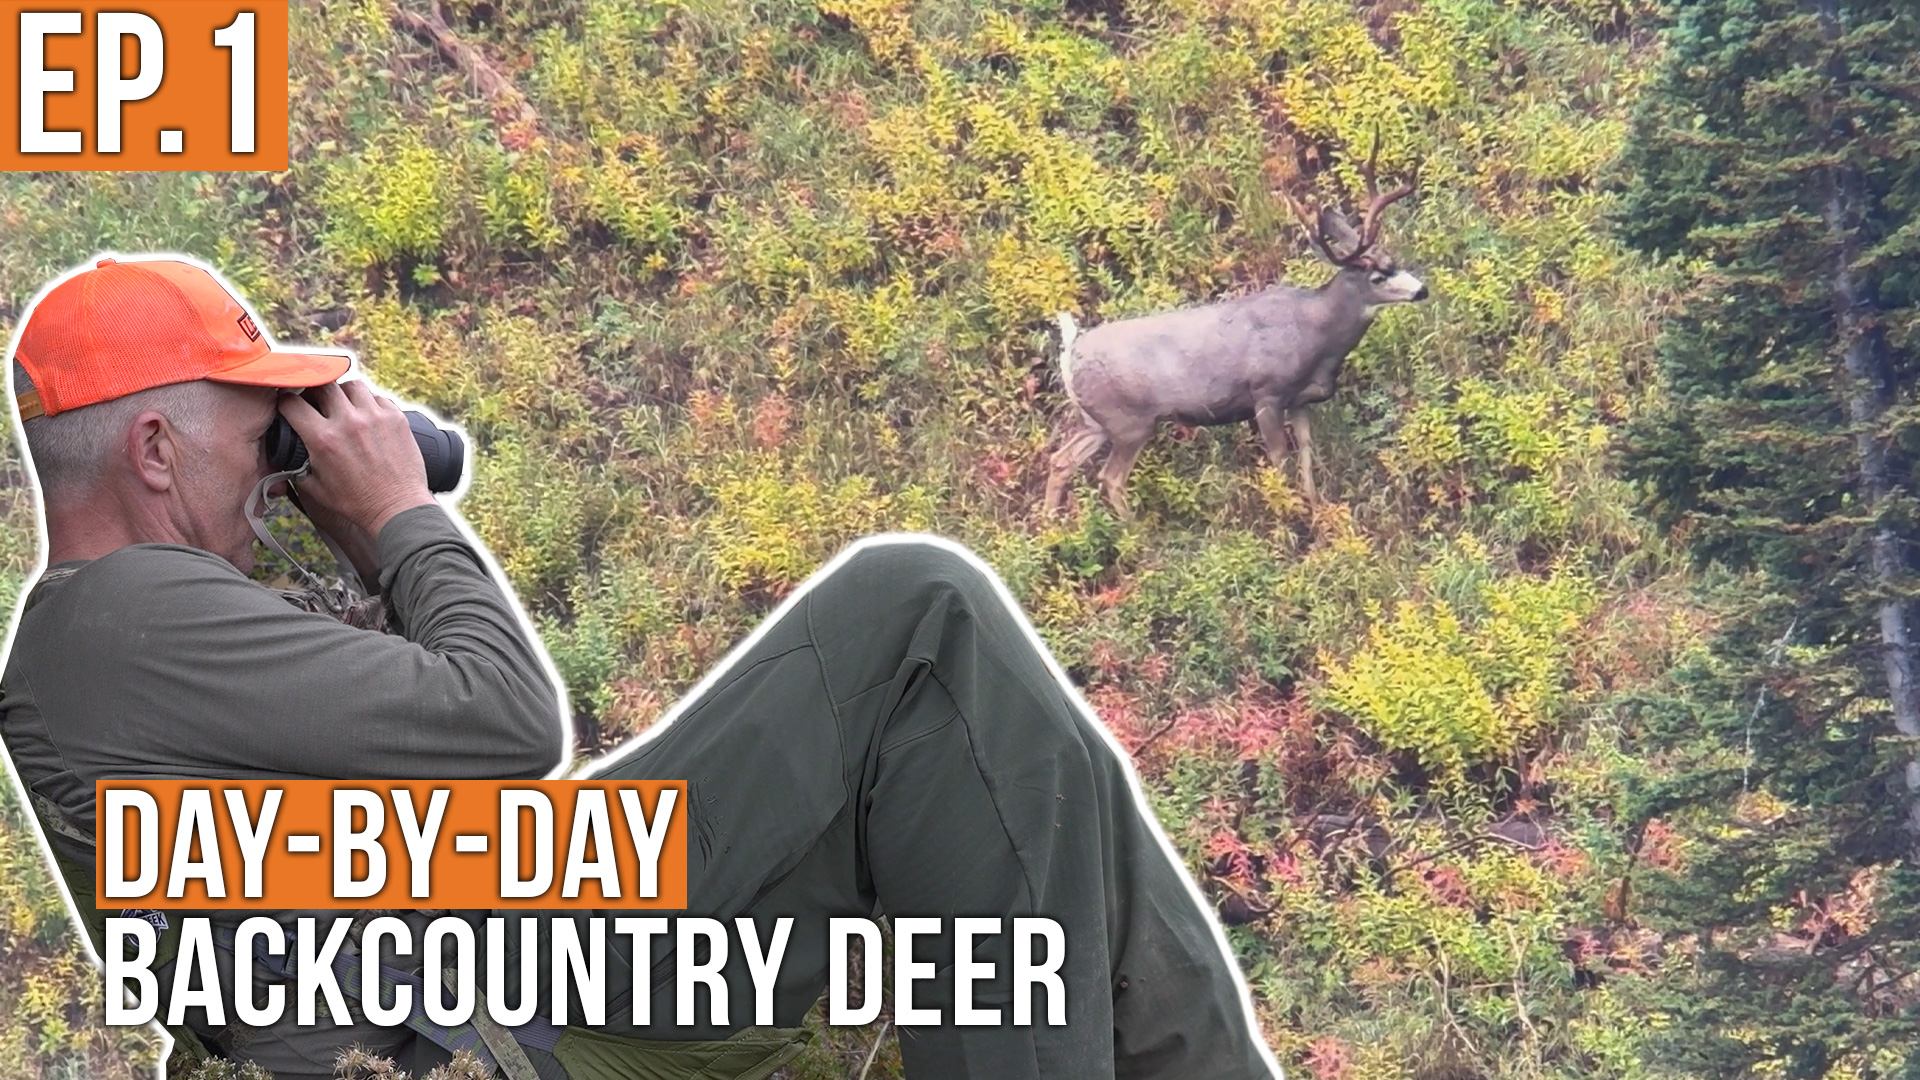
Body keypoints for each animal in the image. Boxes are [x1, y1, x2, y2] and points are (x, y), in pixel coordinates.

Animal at [1042, 144, 1426, 519]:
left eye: (1395, 261)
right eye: (1378, 277)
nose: (1422, 290)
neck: (1318, 336)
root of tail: (1070, 352)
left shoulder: (1301, 400)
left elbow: (1306, 453)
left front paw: (1315, 506)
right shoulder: (1266, 393)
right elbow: (1280, 459)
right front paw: (1289, 517)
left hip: (1096, 420)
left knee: (1060, 460)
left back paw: (1051, 527)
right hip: (1129, 421)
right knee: (1110, 478)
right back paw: (1133, 532)